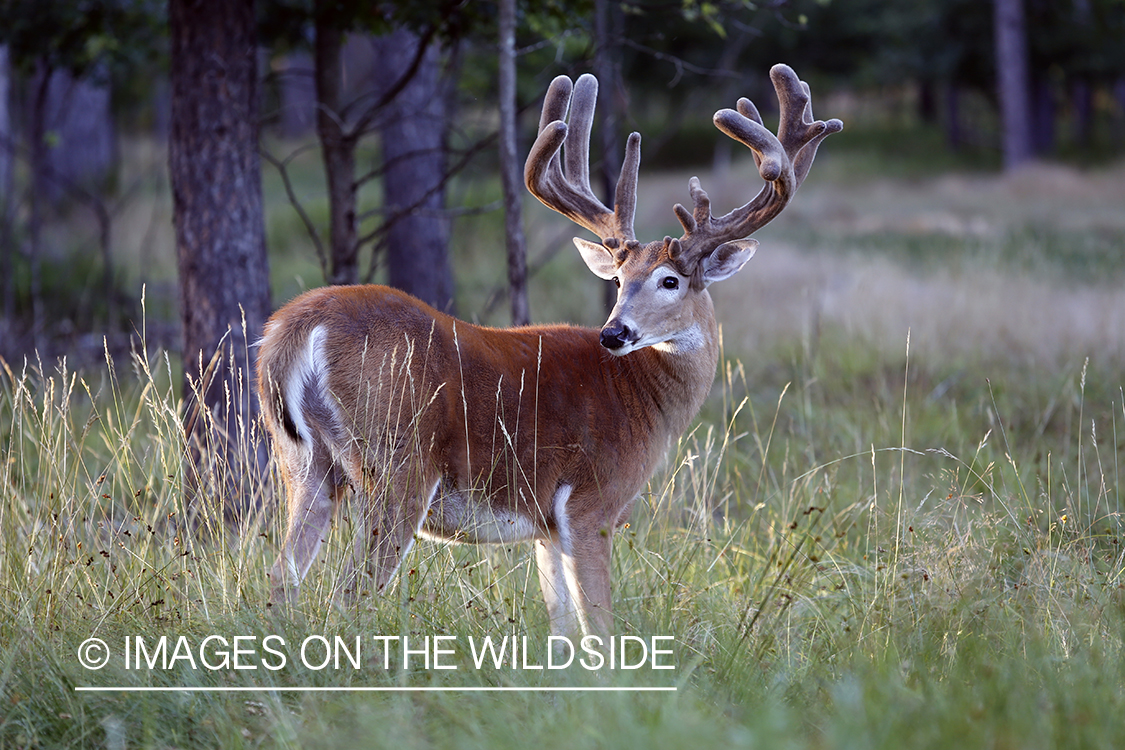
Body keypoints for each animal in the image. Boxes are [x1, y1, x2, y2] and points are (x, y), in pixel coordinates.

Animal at [255, 64, 837, 638]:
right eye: (619, 279)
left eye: (669, 280)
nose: (613, 333)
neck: (643, 396)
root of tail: (296, 326)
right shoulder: (590, 503)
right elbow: (598, 626)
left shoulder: (544, 525)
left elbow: (559, 630)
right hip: (398, 464)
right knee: (347, 595)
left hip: (304, 462)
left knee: (281, 577)